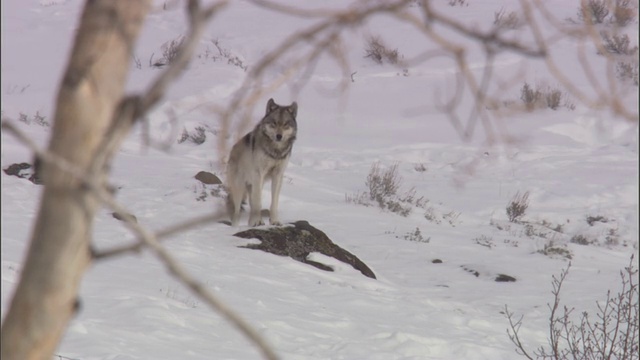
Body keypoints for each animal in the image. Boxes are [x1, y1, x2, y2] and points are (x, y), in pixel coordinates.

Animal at [226, 97, 298, 228]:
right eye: (274, 123)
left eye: (285, 124)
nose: (279, 136)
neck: (275, 151)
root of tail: (232, 149)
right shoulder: (259, 174)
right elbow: (258, 202)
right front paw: (257, 222)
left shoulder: (278, 175)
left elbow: (274, 202)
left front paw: (274, 221)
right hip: (240, 188)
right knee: (237, 211)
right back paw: (236, 226)